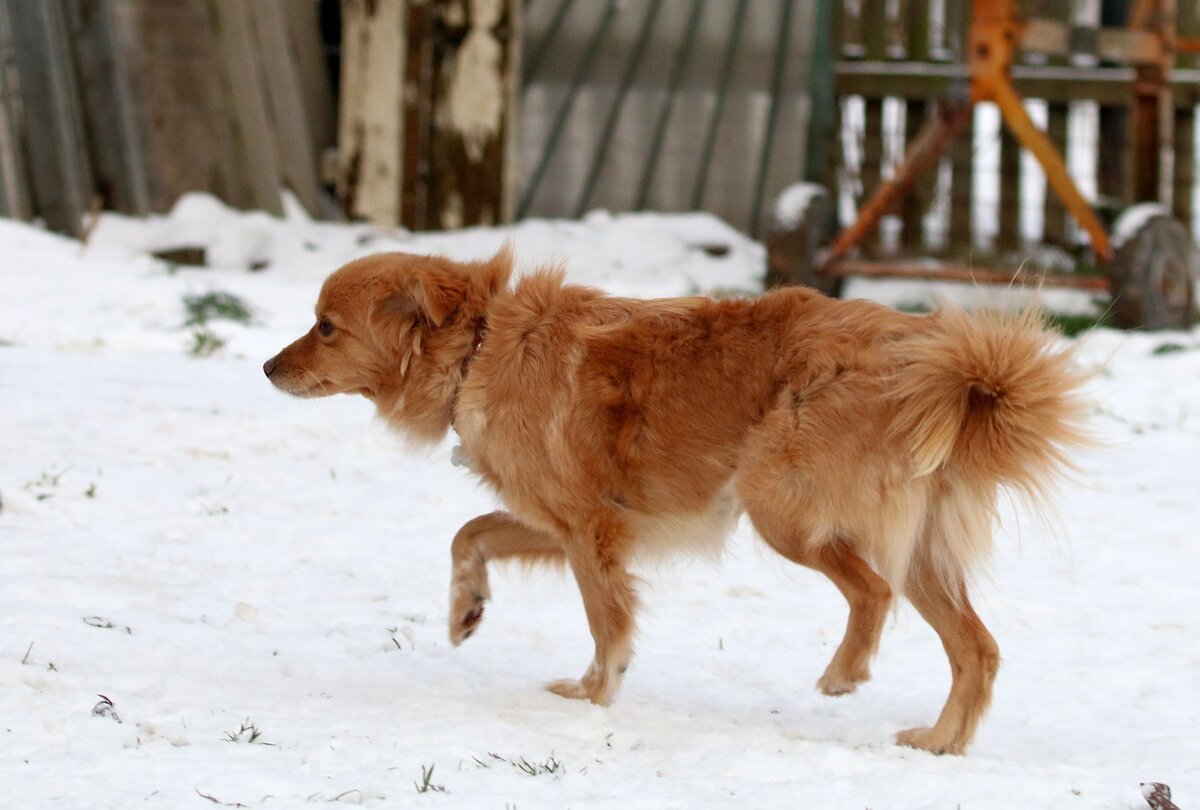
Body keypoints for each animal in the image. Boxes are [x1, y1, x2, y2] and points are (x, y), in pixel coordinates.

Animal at [262, 247, 1089, 753]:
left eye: (325, 327)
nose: (268, 368)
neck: (481, 345)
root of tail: (928, 355)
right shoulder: (565, 521)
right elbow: (470, 534)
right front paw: (467, 609)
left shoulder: (590, 528)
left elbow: (605, 620)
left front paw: (591, 696)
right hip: (918, 551)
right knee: (977, 648)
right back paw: (940, 742)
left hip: (778, 502)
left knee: (872, 593)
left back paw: (846, 671)